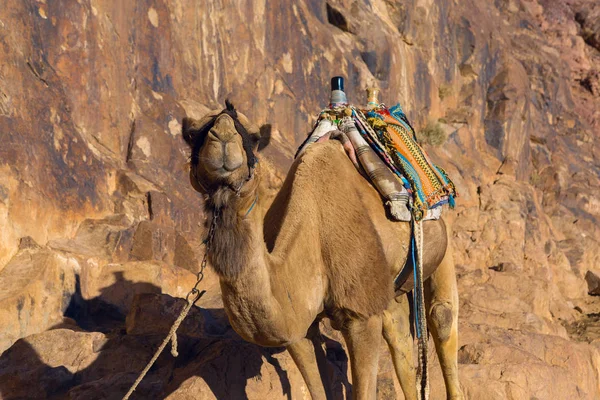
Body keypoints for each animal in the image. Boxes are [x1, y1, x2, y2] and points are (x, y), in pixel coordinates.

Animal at [182, 101, 464, 400]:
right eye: (192, 134)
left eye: (255, 138)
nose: (223, 135)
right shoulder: (299, 328)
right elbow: (317, 387)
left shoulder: (360, 315)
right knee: (397, 332)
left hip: (438, 242)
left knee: (440, 316)